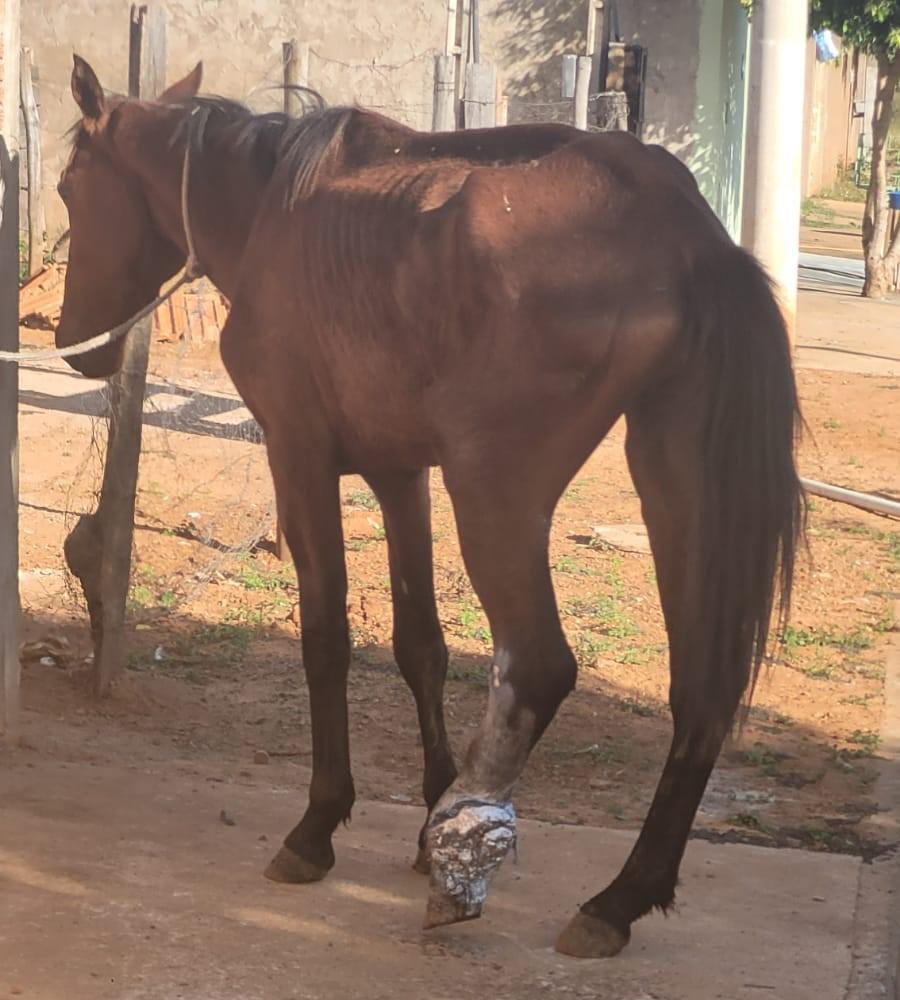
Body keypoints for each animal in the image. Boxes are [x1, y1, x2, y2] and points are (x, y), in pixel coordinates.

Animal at [56, 56, 804, 960]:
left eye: (66, 187)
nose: (76, 345)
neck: (272, 208)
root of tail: (686, 231)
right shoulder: (398, 474)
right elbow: (421, 646)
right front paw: (422, 822)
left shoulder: (298, 455)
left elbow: (327, 638)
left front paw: (321, 825)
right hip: (673, 482)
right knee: (701, 690)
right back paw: (619, 897)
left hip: (494, 490)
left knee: (541, 665)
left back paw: (468, 857)